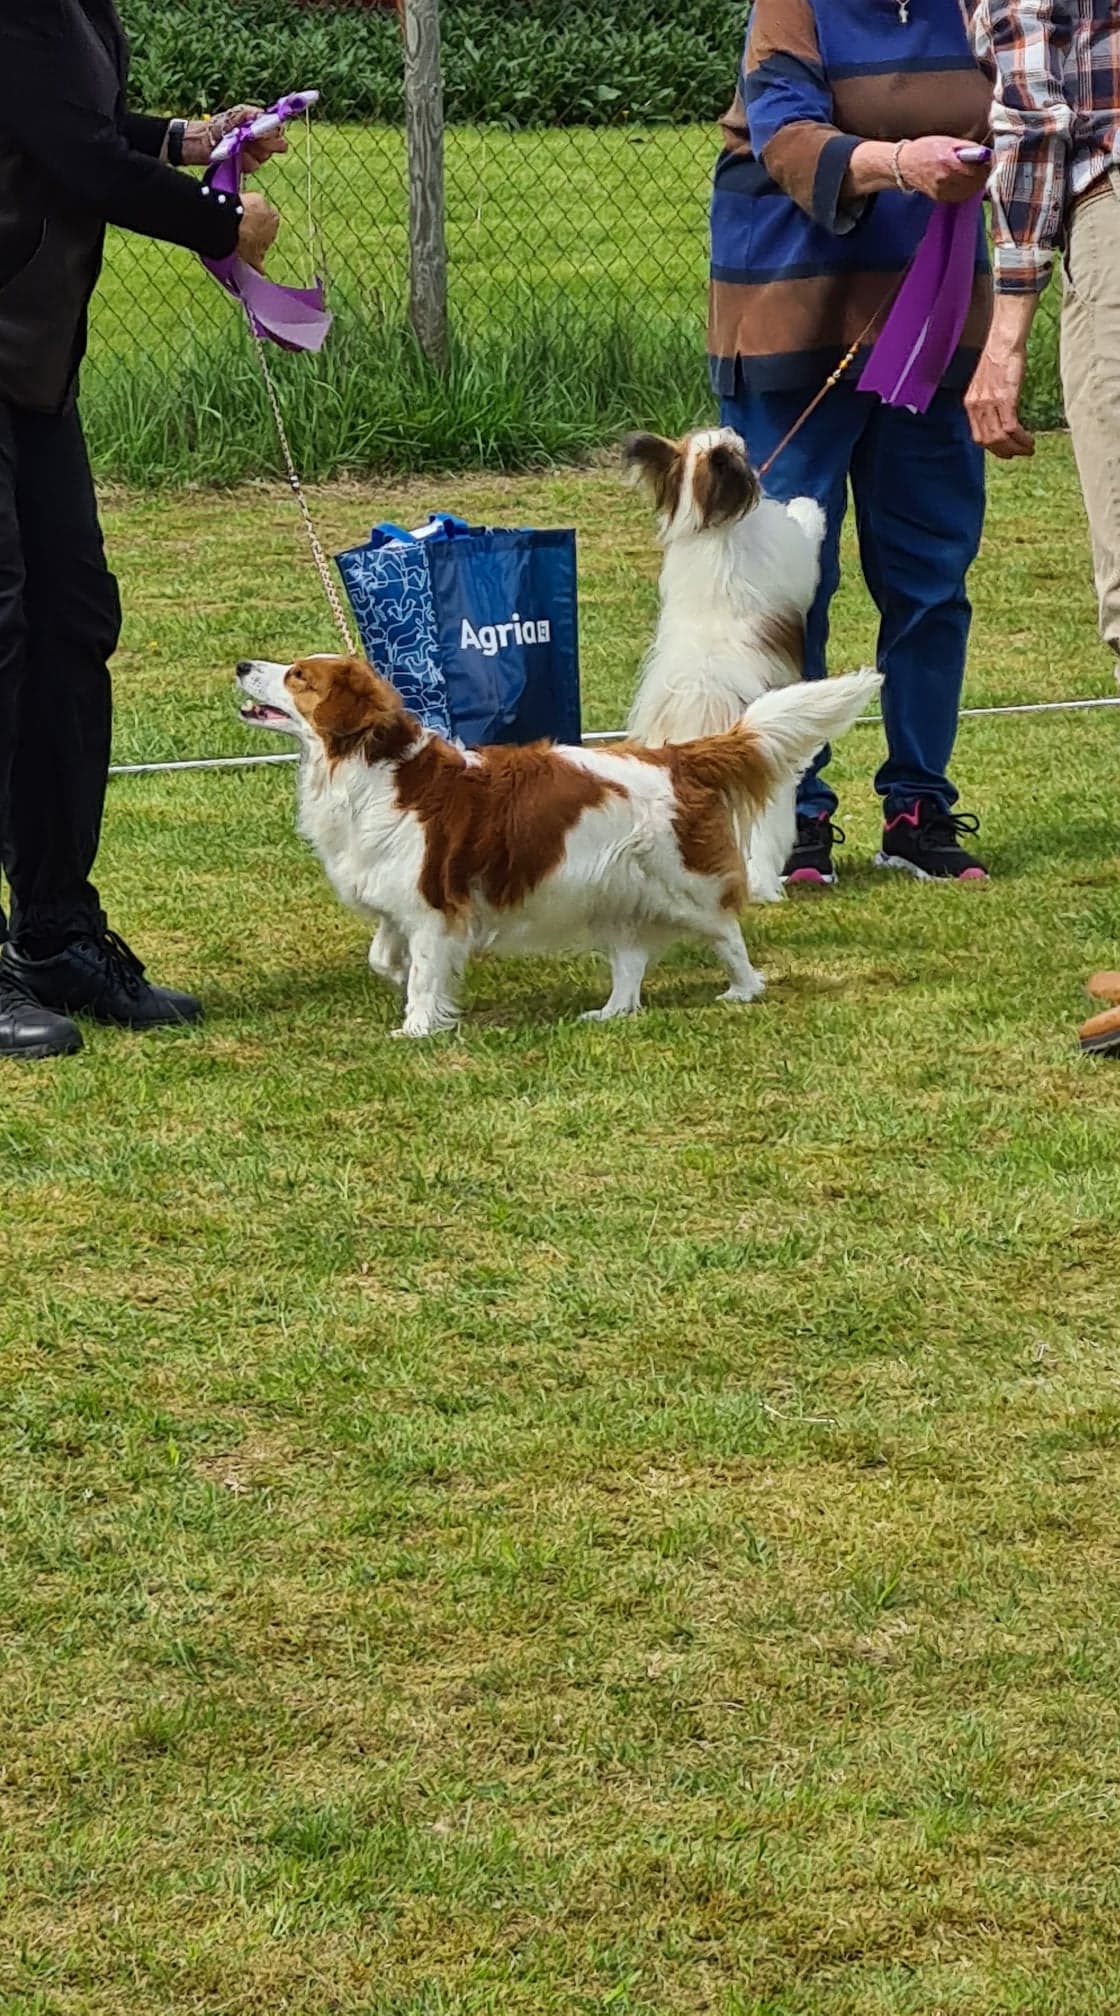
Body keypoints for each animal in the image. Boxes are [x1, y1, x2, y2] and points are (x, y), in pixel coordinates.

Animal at [238, 653, 882, 1040]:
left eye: (298, 676)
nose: (244, 664)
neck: (371, 768)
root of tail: (675, 758)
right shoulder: (400, 898)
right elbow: (385, 956)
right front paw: (400, 982)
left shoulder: (433, 907)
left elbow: (423, 973)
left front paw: (417, 1027)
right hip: (614, 894)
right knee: (630, 961)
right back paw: (612, 1012)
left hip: (685, 887)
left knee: (727, 933)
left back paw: (744, 990)